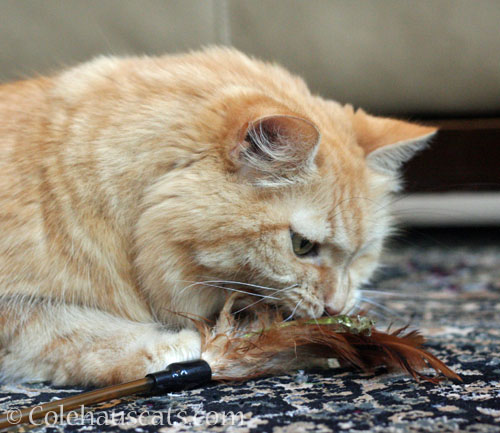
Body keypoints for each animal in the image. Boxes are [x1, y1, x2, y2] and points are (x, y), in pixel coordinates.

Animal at [0, 47, 434, 384]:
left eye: (361, 254)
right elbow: (65, 329)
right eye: (301, 245)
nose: (335, 310)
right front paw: (182, 350)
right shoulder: (16, 309)